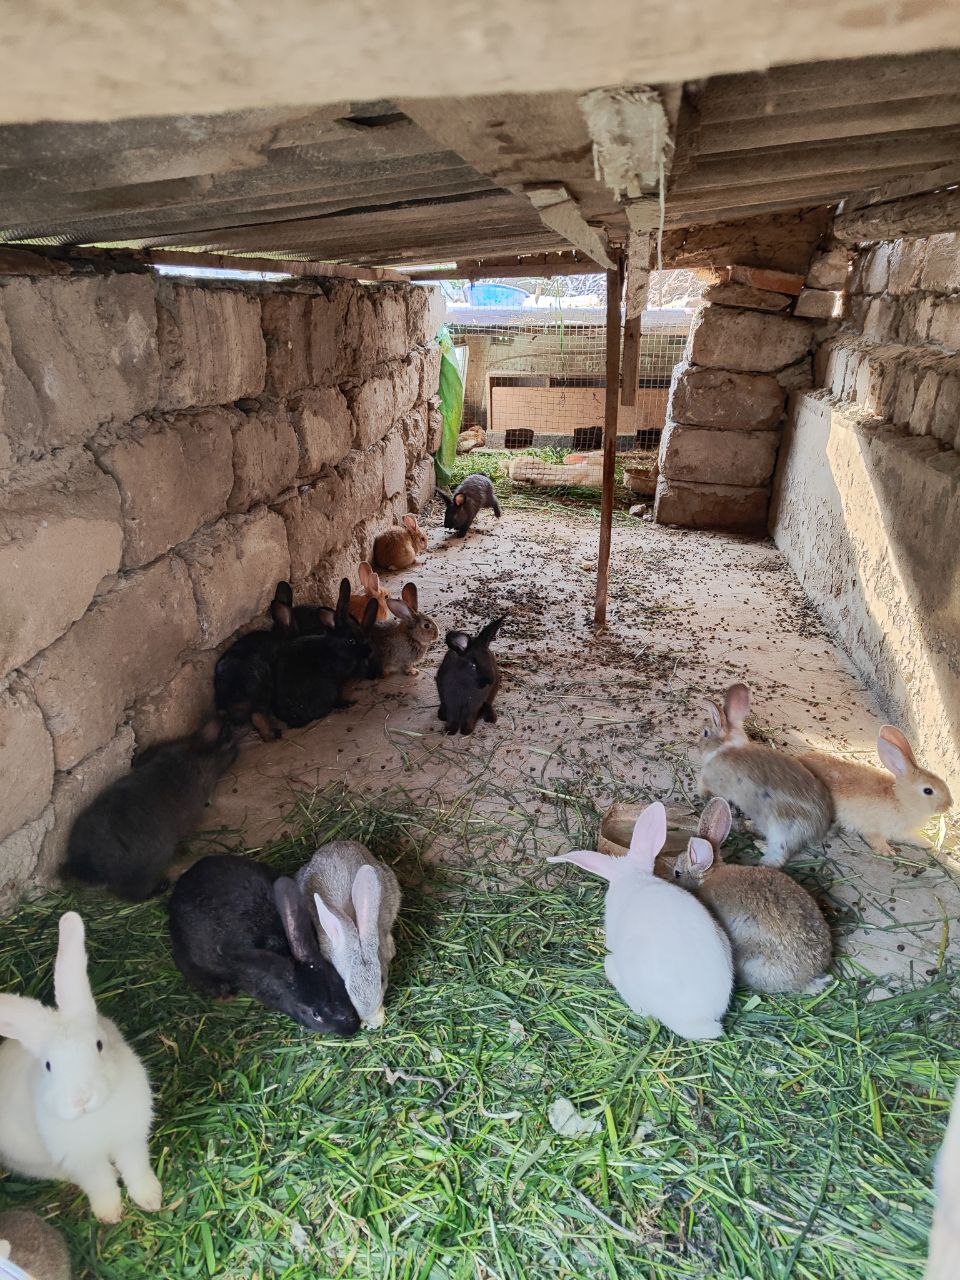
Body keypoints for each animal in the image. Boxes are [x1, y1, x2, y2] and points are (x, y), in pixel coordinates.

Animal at [0, 912, 162, 1224]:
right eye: (48, 1065)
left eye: (98, 1044)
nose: (81, 1100)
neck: (96, 1116)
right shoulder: (82, 1160)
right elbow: (99, 1184)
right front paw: (109, 1215)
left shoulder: (131, 1139)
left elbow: (136, 1168)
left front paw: (151, 1199)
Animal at [63, 717, 238, 902]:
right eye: (230, 740)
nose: (237, 751)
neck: (195, 752)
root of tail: (89, 863)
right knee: (131, 894)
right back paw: (161, 887)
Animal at [699, 682, 833, 868]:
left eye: (705, 733)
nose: (699, 746)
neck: (725, 747)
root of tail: (819, 828)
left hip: (781, 830)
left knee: (777, 858)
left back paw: (760, 854)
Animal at [798, 726, 953, 857]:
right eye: (928, 791)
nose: (949, 804)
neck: (901, 800)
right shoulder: (875, 828)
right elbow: (875, 838)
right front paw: (887, 851)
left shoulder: (903, 832)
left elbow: (912, 838)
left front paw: (929, 844)